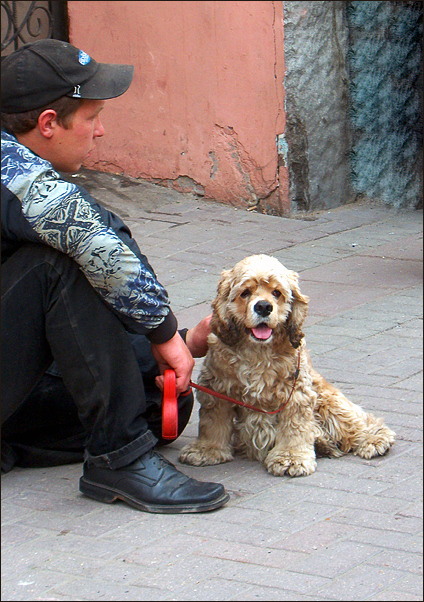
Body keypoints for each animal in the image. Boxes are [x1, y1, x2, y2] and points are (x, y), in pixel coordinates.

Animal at [179, 252, 394, 474]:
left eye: (277, 293)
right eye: (245, 293)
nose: (263, 307)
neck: (258, 352)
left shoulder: (296, 392)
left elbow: (295, 426)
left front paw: (291, 457)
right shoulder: (217, 388)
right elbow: (213, 422)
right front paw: (207, 449)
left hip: (326, 398)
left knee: (357, 422)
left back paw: (373, 439)